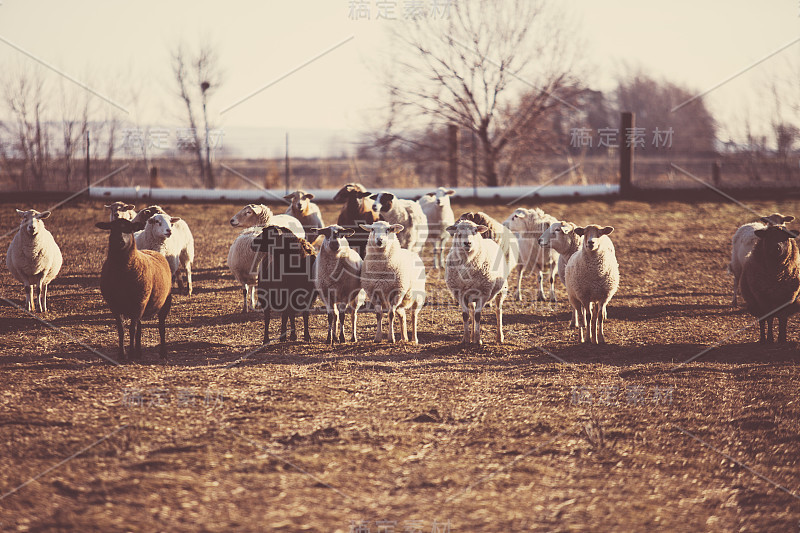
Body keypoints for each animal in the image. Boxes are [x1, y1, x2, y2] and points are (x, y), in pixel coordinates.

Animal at [95, 217, 173, 362]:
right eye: (112, 228)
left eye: (129, 229)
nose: (120, 240)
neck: (122, 272)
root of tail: (152, 251)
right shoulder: (114, 304)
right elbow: (122, 329)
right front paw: (122, 354)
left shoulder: (139, 303)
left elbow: (132, 329)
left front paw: (130, 354)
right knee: (140, 327)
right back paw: (139, 353)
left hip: (164, 301)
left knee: (161, 327)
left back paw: (163, 353)